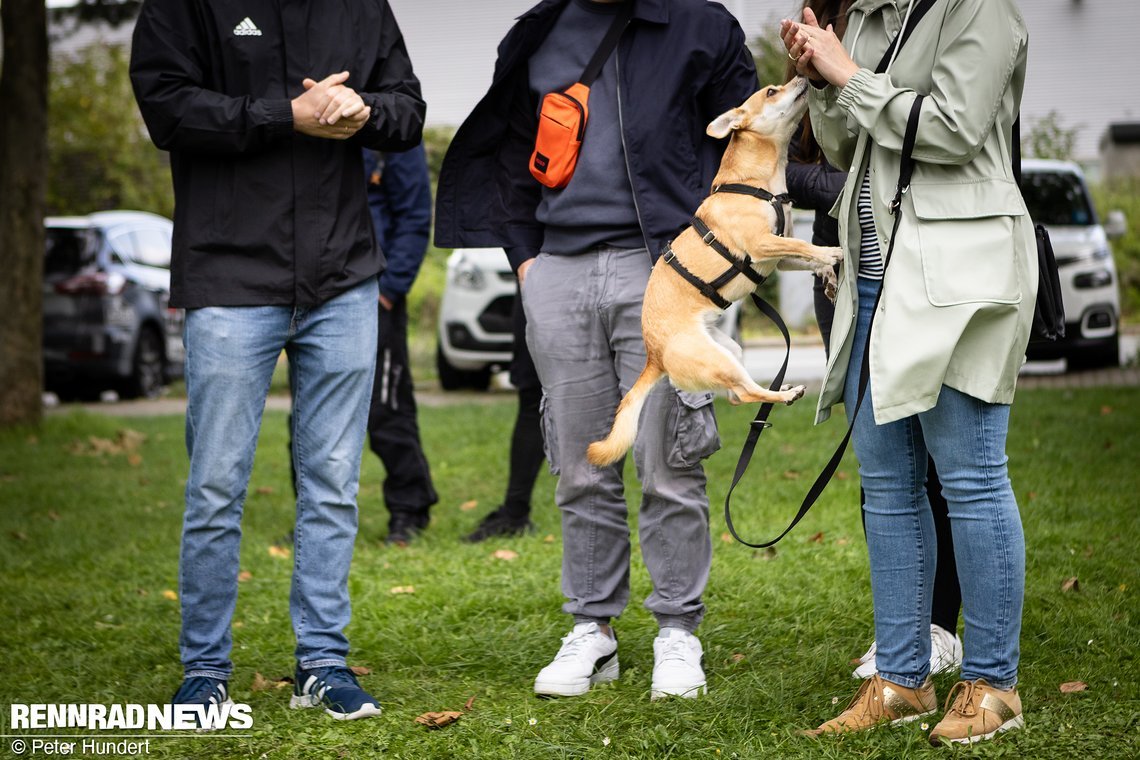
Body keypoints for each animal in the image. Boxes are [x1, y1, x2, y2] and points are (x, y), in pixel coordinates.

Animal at [592, 80, 843, 467]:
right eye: (771, 91)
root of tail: (653, 356)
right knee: (744, 392)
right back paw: (786, 395)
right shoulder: (763, 245)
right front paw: (834, 252)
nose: (801, 77)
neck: (757, 184)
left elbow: (803, 253)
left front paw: (828, 273)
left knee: (738, 395)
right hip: (718, 359)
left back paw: (781, 389)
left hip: (729, 349)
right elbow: (805, 246)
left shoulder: (779, 255)